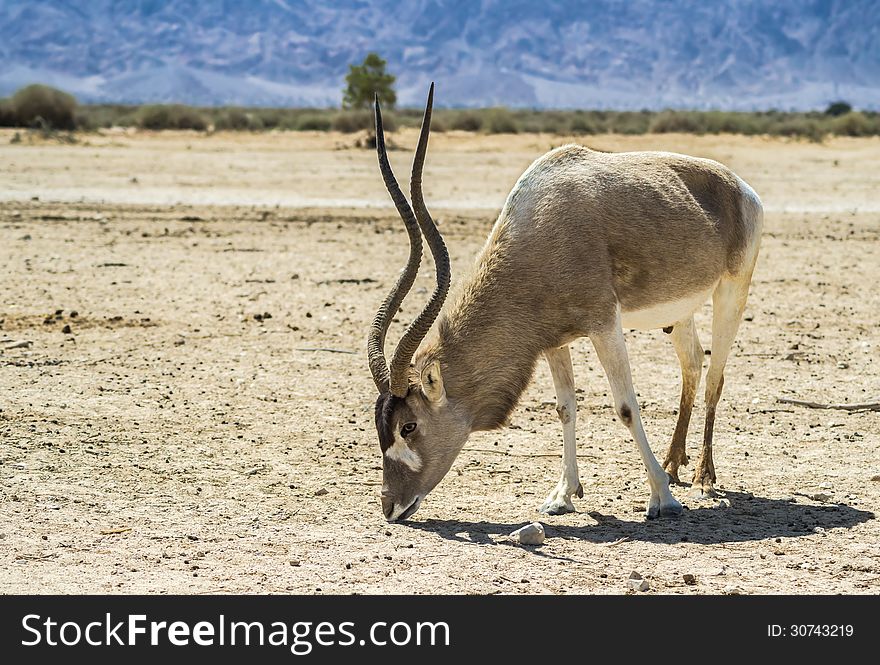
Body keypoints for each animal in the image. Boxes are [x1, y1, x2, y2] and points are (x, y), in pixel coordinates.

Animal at [368, 84, 760, 520]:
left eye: (409, 426)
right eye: (380, 427)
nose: (389, 505)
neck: (539, 227)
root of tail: (740, 187)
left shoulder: (604, 324)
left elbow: (626, 406)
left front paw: (661, 498)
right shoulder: (553, 340)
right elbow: (565, 408)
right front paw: (564, 494)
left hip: (732, 291)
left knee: (714, 377)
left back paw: (702, 478)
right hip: (679, 313)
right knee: (692, 363)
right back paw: (674, 464)